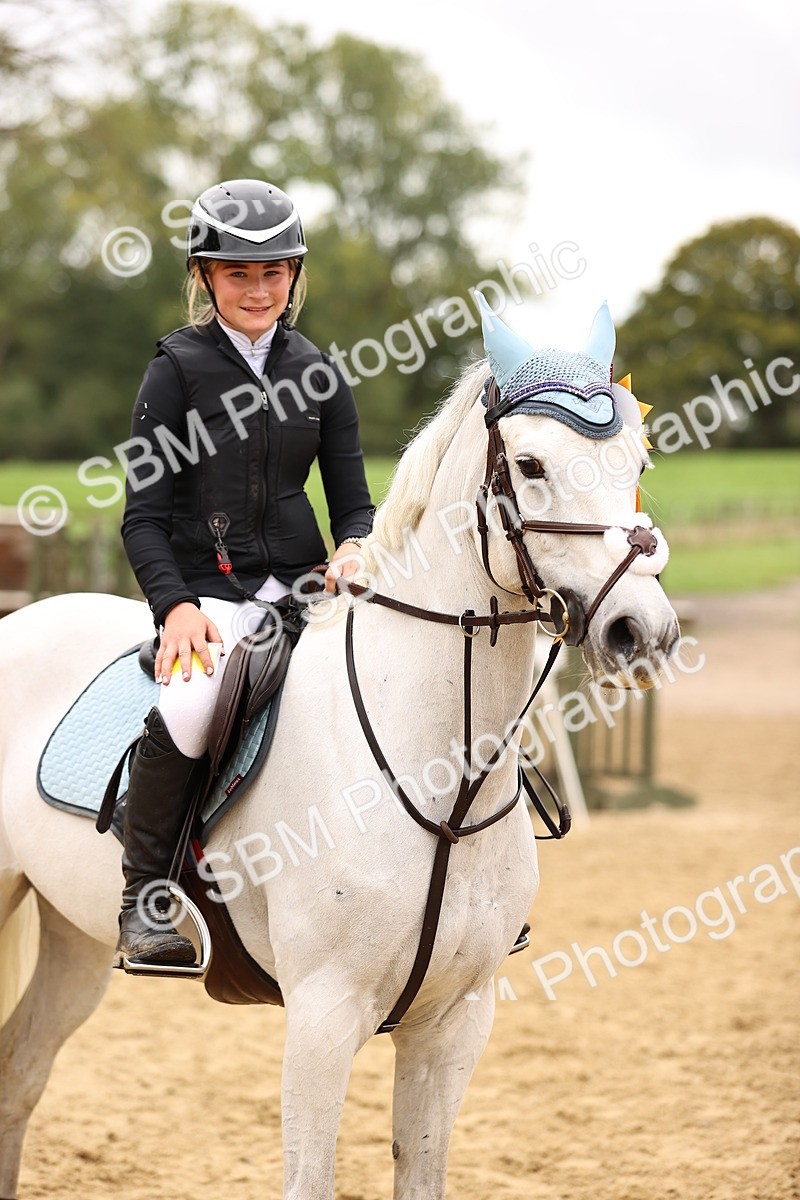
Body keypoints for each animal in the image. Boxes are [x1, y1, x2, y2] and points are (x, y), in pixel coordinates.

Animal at [0, 299, 678, 1199]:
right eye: (530, 466)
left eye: (635, 460)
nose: (643, 632)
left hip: (73, 933)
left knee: (19, 1072)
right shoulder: (323, 1018)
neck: (441, 783)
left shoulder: (453, 1023)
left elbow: (422, 1171)